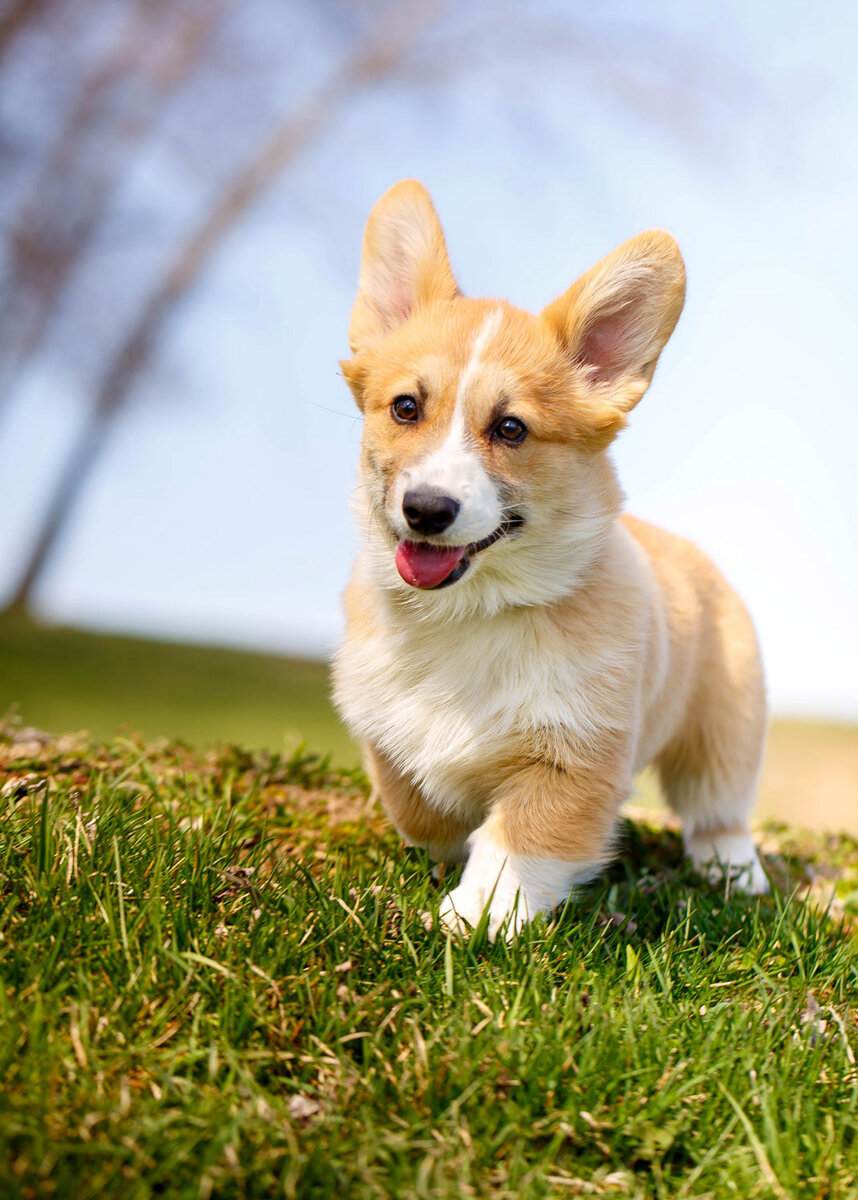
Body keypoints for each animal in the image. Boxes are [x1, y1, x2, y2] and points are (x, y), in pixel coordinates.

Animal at [331, 182, 768, 940]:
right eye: (406, 408)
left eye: (511, 429)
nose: (426, 509)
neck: (471, 614)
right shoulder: (386, 733)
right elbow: (422, 809)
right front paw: (446, 848)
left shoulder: (575, 757)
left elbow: (518, 844)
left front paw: (471, 919)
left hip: (726, 721)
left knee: (719, 804)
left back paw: (735, 870)